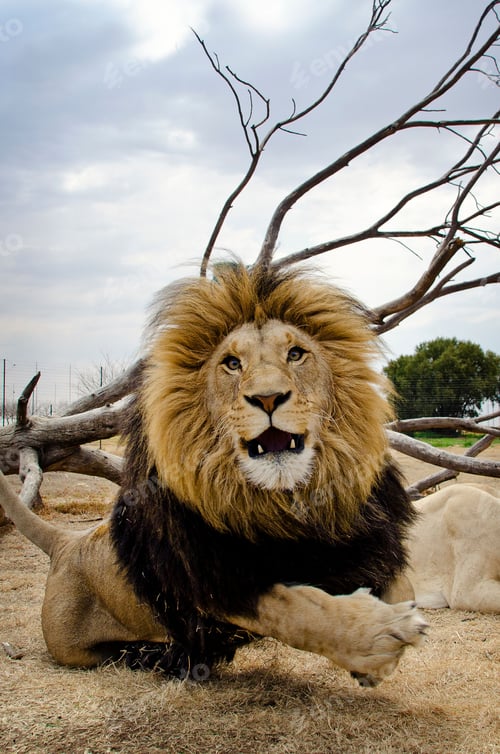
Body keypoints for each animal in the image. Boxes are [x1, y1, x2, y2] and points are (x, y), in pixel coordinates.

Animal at [0, 264, 429, 686]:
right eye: (232, 363)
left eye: (295, 354)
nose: (268, 398)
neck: (289, 502)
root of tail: (65, 544)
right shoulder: (212, 579)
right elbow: (297, 610)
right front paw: (380, 636)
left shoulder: (370, 537)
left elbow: (400, 579)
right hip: (75, 645)